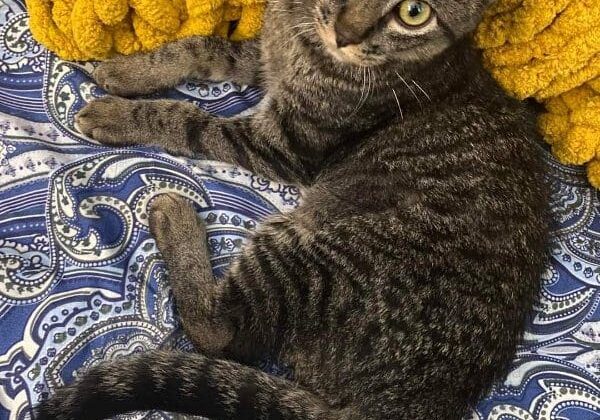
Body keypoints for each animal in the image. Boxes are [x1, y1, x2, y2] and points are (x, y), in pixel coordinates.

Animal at [34, 0, 548, 420]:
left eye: (414, 13)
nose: (345, 35)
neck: (305, 34)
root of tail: (420, 401)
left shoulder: (282, 145)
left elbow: (191, 121)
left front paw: (120, 113)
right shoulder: (265, 58)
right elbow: (205, 47)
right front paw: (132, 71)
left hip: (311, 257)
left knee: (218, 331)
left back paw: (174, 217)